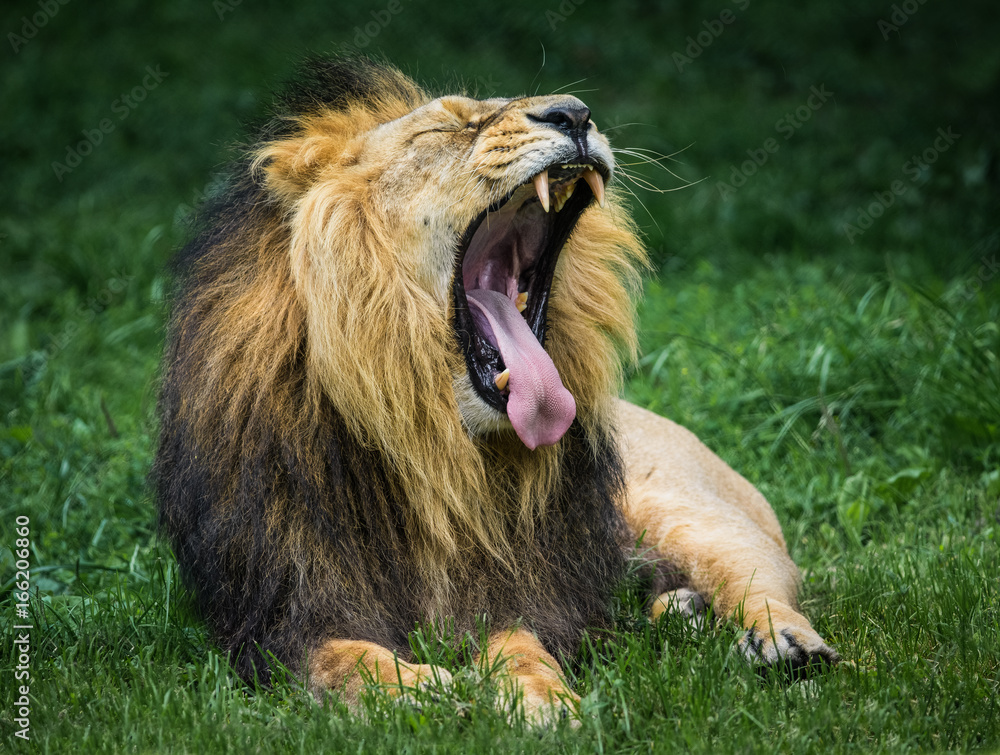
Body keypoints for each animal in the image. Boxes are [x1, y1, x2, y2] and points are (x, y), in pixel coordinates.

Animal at [152, 55, 837, 725]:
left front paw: (539, 698)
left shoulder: (521, 589)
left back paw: (785, 646)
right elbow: (341, 660)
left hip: (685, 513)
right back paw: (685, 614)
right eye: (446, 129)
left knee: (759, 583)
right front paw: (418, 690)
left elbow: (520, 641)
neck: (432, 452)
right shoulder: (274, 618)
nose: (575, 113)